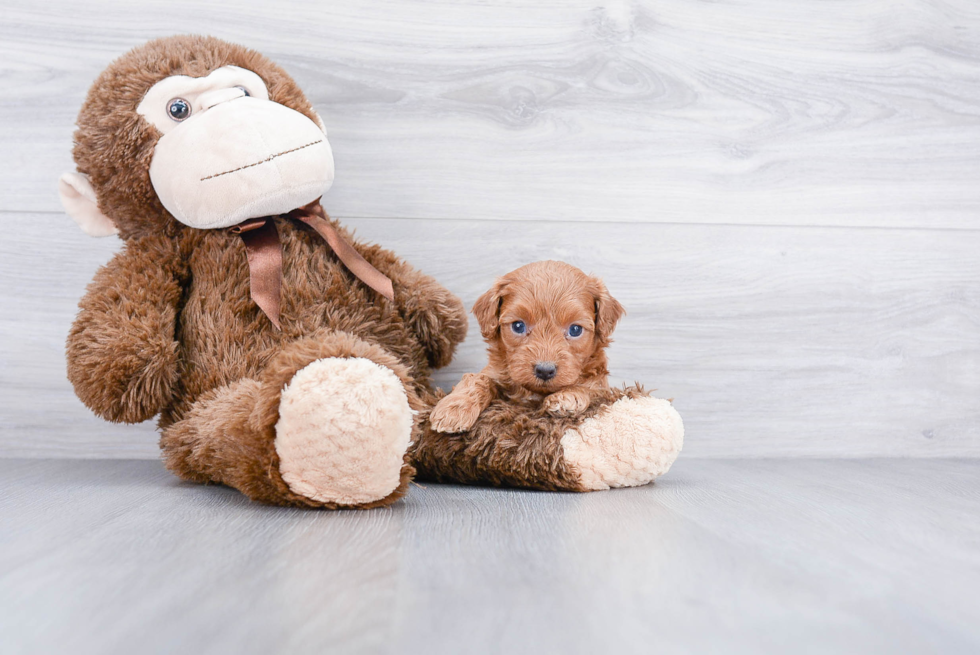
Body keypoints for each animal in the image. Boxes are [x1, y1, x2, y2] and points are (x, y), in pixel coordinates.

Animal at [430, 262, 628, 436]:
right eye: (518, 326)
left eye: (575, 330)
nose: (545, 370)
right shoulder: (495, 372)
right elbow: (477, 379)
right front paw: (454, 409)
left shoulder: (601, 386)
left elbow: (589, 387)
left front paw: (568, 397)